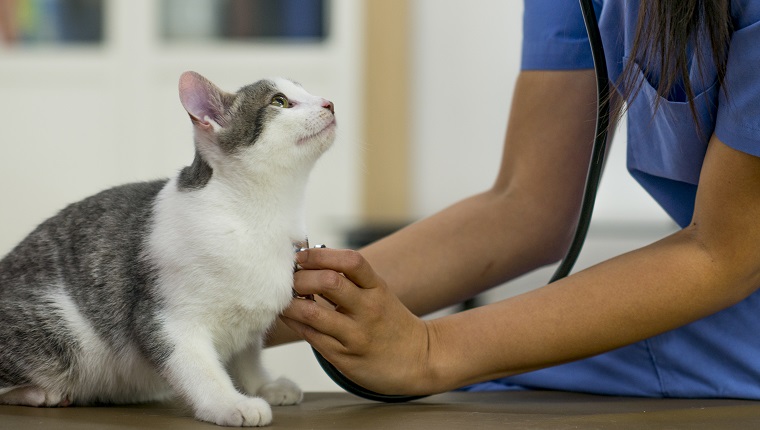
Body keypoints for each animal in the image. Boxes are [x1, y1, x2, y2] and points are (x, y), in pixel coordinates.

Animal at [0, 71, 336, 426]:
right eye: (279, 102)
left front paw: (262, 385)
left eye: (305, 91)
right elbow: (199, 369)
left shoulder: (248, 323)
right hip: (60, 330)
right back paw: (39, 393)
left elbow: (247, 356)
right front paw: (230, 402)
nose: (329, 103)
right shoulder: (166, 318)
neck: (260, 218)